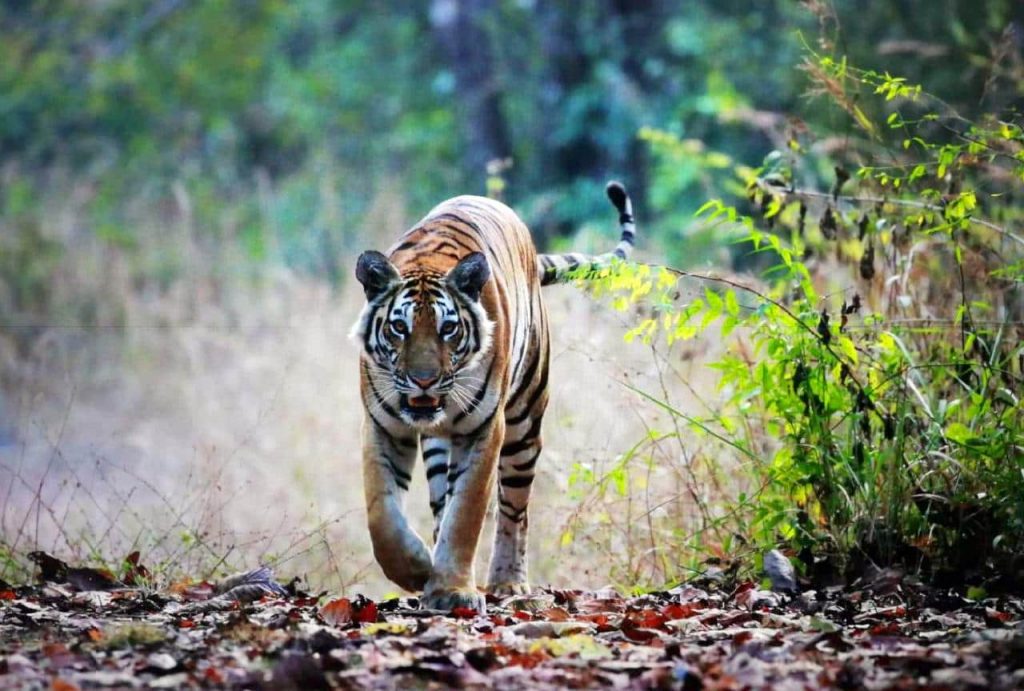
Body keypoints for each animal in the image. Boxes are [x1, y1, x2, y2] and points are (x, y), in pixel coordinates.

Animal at [351, 182, 637, 612]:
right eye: (399, 328)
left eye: (448, 328)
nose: (423, 381)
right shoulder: (382, 425)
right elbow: (380, 512)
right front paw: (417, 569)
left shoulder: (485, 429)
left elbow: (467, 512)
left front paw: (453, 589)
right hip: (441, 448)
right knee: (442, 501)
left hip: (523, 424)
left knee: (515, 510)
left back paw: (507, 583)